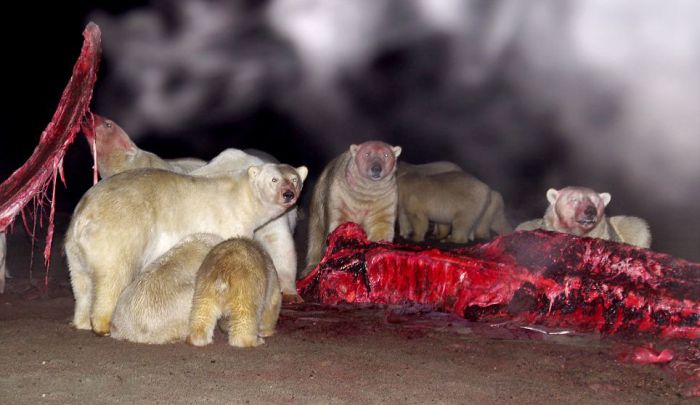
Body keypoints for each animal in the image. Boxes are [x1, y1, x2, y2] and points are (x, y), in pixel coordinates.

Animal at [65, 161, 306, 334]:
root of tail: (84, 216)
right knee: (113, 276)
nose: (288, 194)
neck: (242, 195)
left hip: (75, 248)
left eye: (294, 179)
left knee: (82, 284)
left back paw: (82, 321)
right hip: (120, 231)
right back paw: (103, 325)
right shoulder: (230, 220)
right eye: (274, 179)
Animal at [304, 140, 400, 274]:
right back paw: (312, 265)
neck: (365, 193)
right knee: (316, 233)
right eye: (367, 154)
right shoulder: (341, 194)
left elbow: (380, 223)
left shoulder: (385, 197)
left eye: (386, 155)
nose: (376, 168)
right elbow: (340, 222)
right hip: (318, 198)